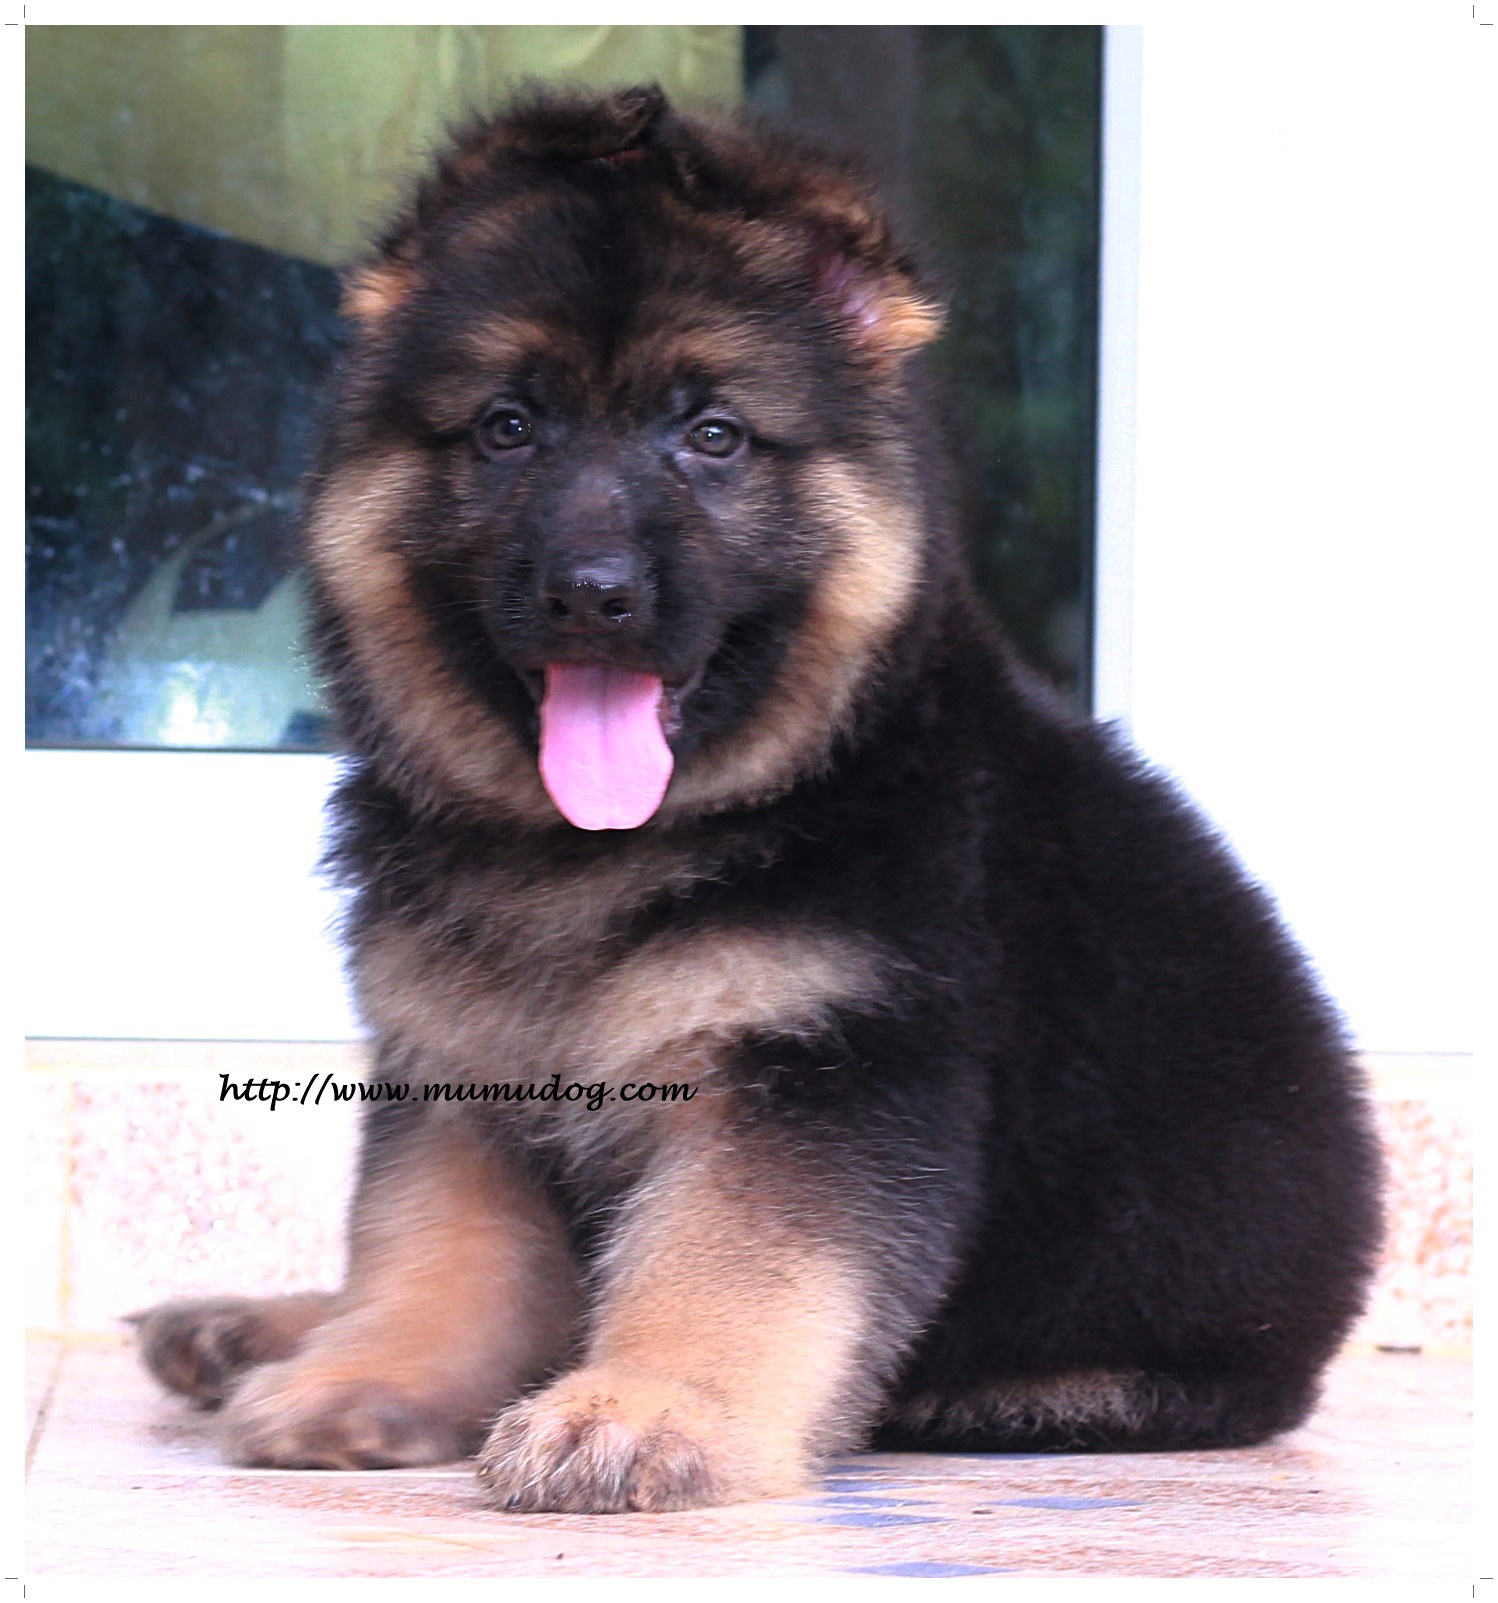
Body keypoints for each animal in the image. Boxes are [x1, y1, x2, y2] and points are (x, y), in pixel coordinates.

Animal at [134, 85, 1383, 1514]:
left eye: (713, 436)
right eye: (508, 426)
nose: (593, 594)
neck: (598, 855)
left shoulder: (814, 1073)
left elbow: (725, 1266)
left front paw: (644, 1408)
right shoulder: (456, 1070)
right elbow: (432, 1250)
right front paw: (372, 1375)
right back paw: (256, 1327)